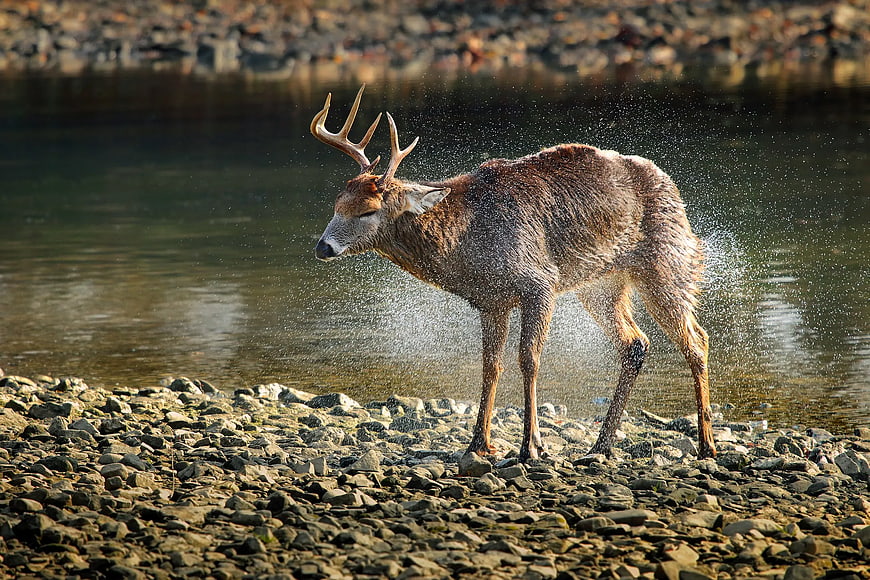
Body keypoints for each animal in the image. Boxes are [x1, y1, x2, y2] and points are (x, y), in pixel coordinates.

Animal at [310, 85, 717, 464]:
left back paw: (706, 445)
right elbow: (491, 365)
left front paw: (531, 446)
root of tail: (672, 187)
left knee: (697, 339)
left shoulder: (540, 282)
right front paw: (478, 443)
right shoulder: (491, 302)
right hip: (601, 285)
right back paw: (599, 447)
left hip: (667, 261)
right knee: (635, 343)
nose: (323, 247)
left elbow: (529, 359)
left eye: (368, 210)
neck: (467, 246)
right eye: (337, 204)